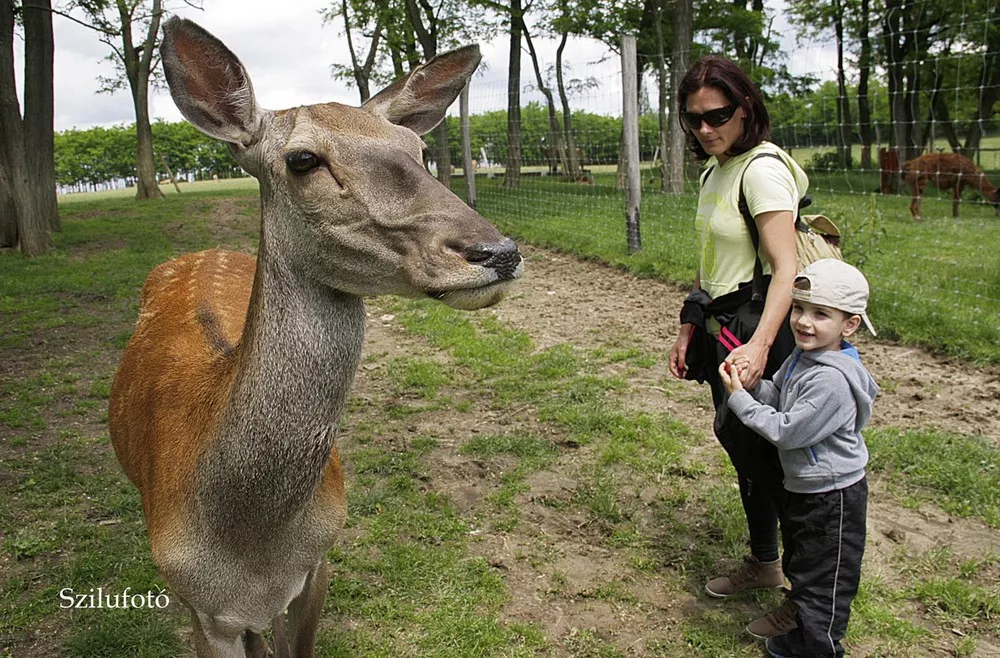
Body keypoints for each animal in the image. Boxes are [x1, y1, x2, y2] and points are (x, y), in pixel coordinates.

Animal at [109, 16, 524, 656]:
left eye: (417, 151)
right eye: (303, 159)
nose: (497, 251)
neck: (252, 550)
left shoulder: (319, 563)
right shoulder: (197, 604)